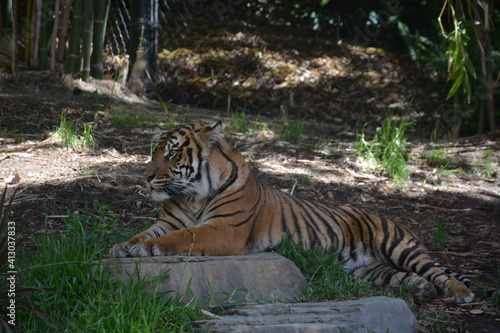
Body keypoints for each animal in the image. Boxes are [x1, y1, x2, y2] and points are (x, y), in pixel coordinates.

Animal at [109, 122, 472, 304]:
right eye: (153, 151)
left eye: (171, 153)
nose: (146, 177)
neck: (193, 194)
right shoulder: (167, 221)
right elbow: (146, 233)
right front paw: (123, 247)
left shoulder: (225, 230)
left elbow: (183, 237)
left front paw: (144, 249)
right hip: (366, 271)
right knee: (403, 276)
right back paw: (421, 289)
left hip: (399, 245)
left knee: (437, 271)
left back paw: (459, 294)